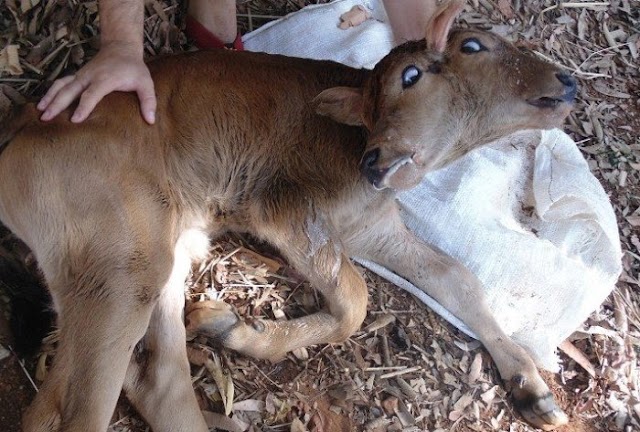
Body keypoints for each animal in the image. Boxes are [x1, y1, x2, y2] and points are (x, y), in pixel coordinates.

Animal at [0, 1, 576, 430]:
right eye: (471, 45)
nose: (566, 80)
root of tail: (24, 119)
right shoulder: (284, 209)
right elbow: (355, 299)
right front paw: (243, 333)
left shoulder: (373, 228)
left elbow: (456, 276)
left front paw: (531, 386)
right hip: (119, 260)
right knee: (70, 411)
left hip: (155, 249)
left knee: (154, 379)